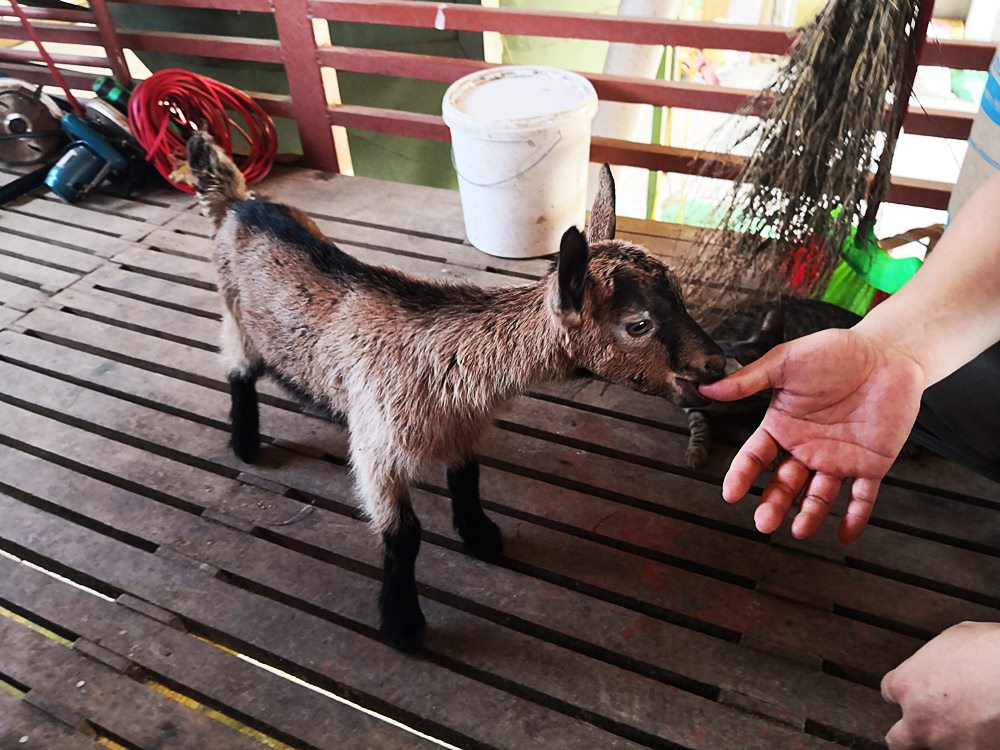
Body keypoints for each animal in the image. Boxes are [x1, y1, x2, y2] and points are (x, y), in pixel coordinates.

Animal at [186, 132, 720, 656]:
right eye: (638, 325)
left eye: (681, 298)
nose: (715, 364)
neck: (452, 368)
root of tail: (237, 203)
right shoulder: (379, 448)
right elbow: (404, 536)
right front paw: (403, 625)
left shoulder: (462, 426)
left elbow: (467, 477)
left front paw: (481, 536)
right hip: (234, 314)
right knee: (238, 371)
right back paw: (246, 443)